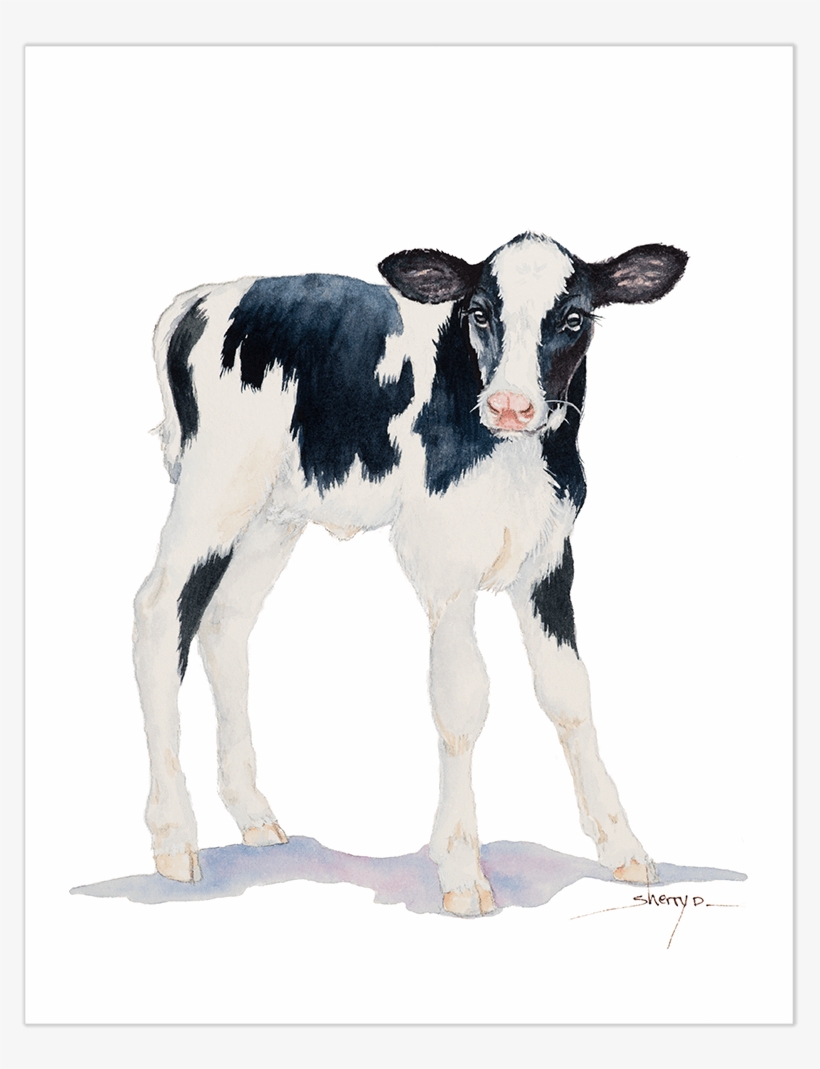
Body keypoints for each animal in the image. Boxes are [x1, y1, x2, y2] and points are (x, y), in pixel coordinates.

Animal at [133, 232, 687, 916]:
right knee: (160, 612)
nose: (510, 405)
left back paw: (254, 815)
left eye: (575, 318)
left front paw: (623, 847)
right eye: (480, 312)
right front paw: (461, 870)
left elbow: (569, 695)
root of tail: (204, 296)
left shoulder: (549, 557)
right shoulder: (443, 559)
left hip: (272, 512)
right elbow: (462, 700)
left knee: (226, 622)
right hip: (214, 488)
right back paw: (172, 837)